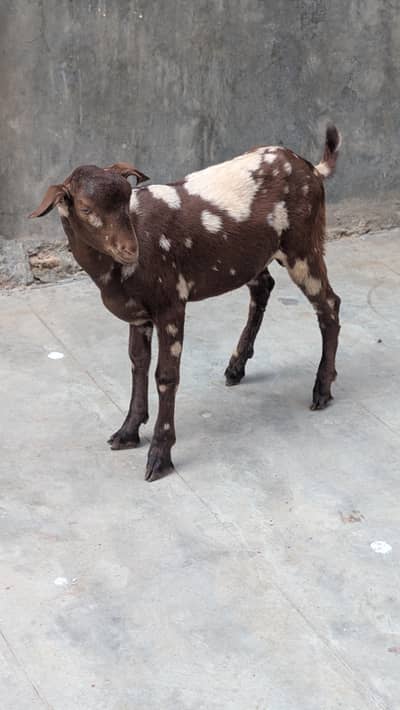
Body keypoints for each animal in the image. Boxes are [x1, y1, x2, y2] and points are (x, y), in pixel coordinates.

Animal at [30, 125, 341, 481]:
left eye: (126, 198)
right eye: (85, 208)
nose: (131, 249)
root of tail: (313, 169)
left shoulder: (170, 302)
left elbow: (166, 376)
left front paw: (159, 456)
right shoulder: (139, 315)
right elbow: (137, 363)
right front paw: (128, 431)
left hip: (303, 246)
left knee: (329, 305)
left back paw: (322, 390)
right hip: (250, 257)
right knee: (264, 287)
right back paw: (236, 366)